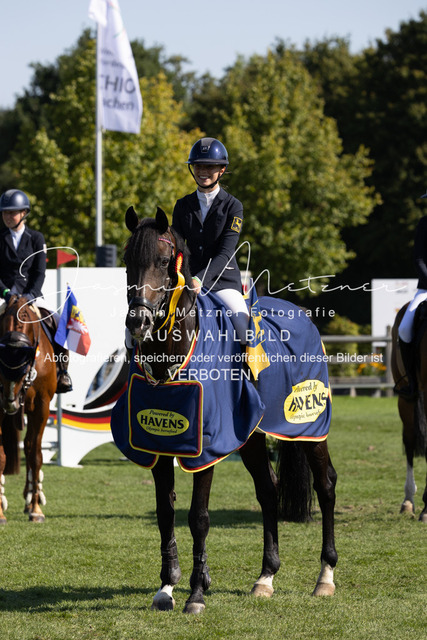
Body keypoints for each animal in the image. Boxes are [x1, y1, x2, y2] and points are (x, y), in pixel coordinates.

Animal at [113, 206, 338, 613]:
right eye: (126, 260)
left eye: (165, 261)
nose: (138, 321)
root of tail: (301, 313)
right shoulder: (158, 444)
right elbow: (165, 512)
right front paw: (167, 586)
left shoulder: (207, 447)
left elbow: (198, 517)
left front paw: (196, 594)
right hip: (252, 436)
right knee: (269, 490)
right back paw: (266, 577)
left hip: (310, 428)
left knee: (326, 484)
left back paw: (325, 576)